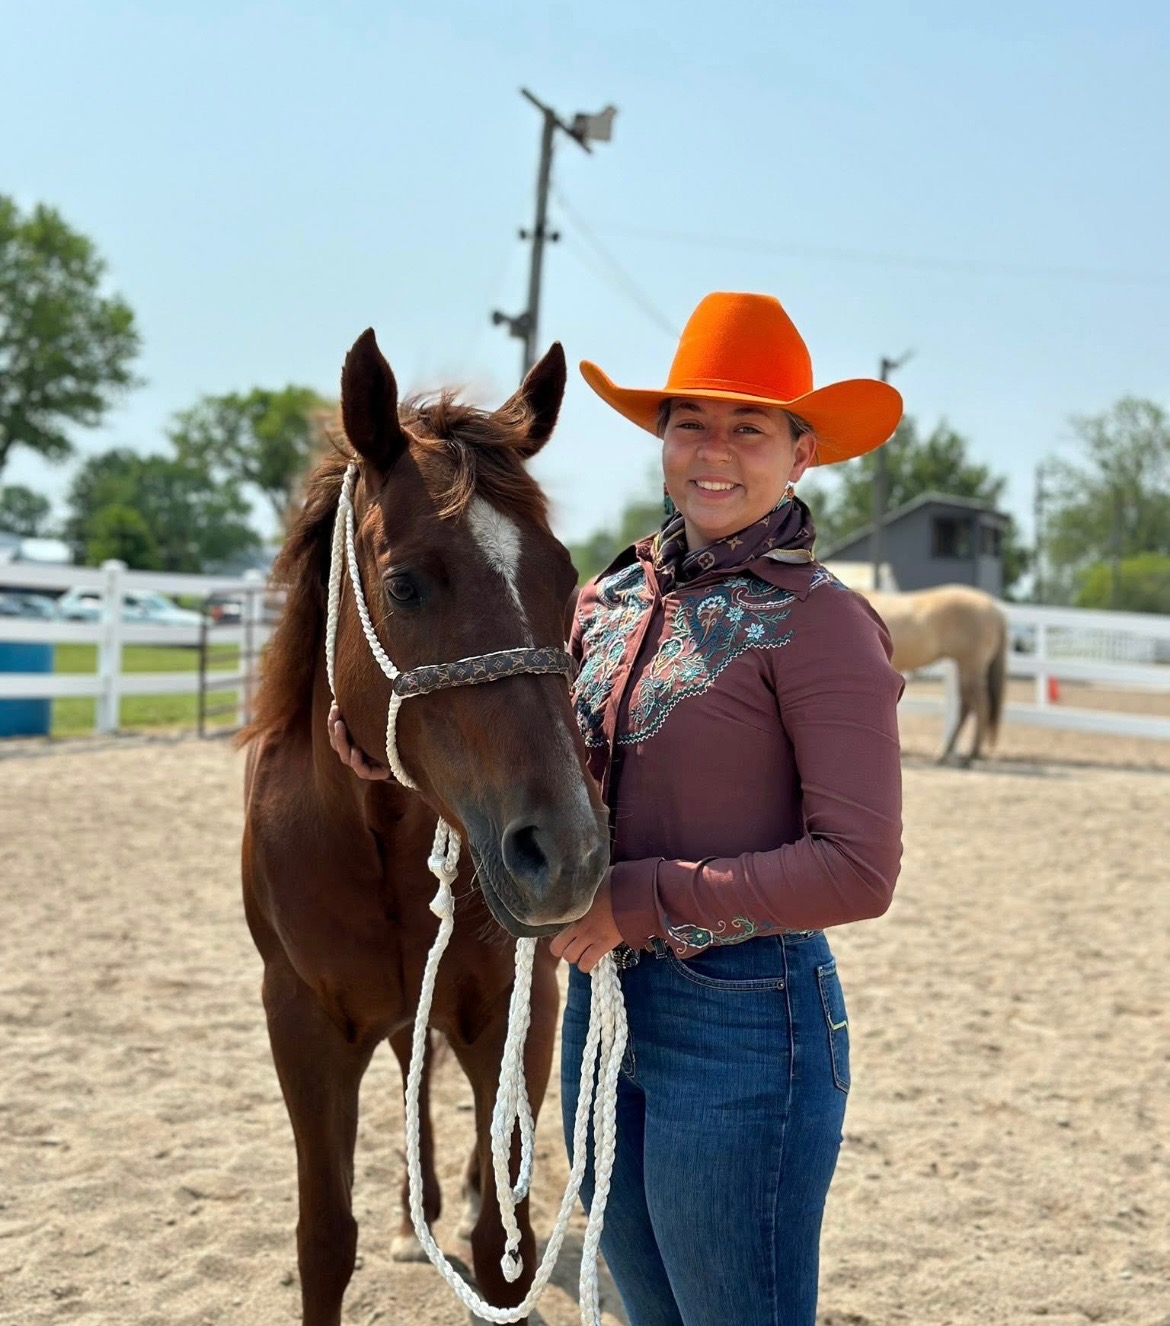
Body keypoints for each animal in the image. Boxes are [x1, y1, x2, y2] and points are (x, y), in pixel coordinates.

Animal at [239, 328, 610, 1326]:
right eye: (405, 587)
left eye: (565, 577)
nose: (568, 852)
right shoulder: (301, 1022)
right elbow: (324, 1241)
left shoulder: (516, 1010)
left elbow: (499, 1249)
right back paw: (416, 1218)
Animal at [862, 584, 1007, 764]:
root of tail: (994, 610)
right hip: (965, 668)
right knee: (966, 707)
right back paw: (945, 753)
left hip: (970, 667)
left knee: (980, 706)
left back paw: (970, 755)